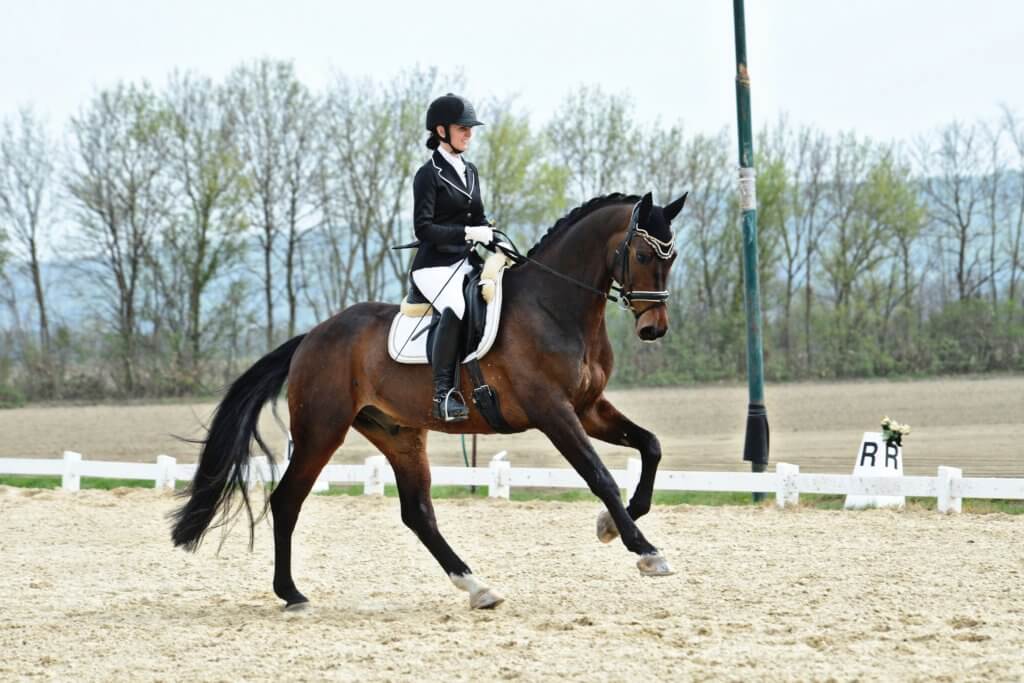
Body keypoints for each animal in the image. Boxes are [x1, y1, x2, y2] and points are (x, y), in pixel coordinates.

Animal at [171, 190, 687, 610]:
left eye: (673, 254)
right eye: (643, 252)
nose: (654, 329)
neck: (555, 307)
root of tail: (310, 338)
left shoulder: (587, 407)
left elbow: (652, 446)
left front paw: (610, 526)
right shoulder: (554, 412)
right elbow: (600, 476)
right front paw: (645, 551)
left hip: (398, 434)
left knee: (417, 513)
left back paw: (477, 587)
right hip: (321, 431)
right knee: (287, 501)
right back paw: (292, 594)